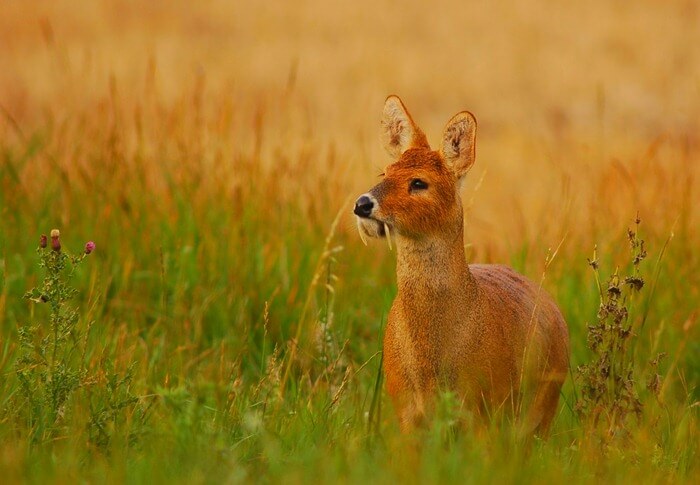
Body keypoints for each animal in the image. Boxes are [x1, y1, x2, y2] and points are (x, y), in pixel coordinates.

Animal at [353, 95, 570, 435]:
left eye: (419, 182)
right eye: (384, 174)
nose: (362, 204)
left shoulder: (481, 406)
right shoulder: (402, 407)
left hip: (543, 406)